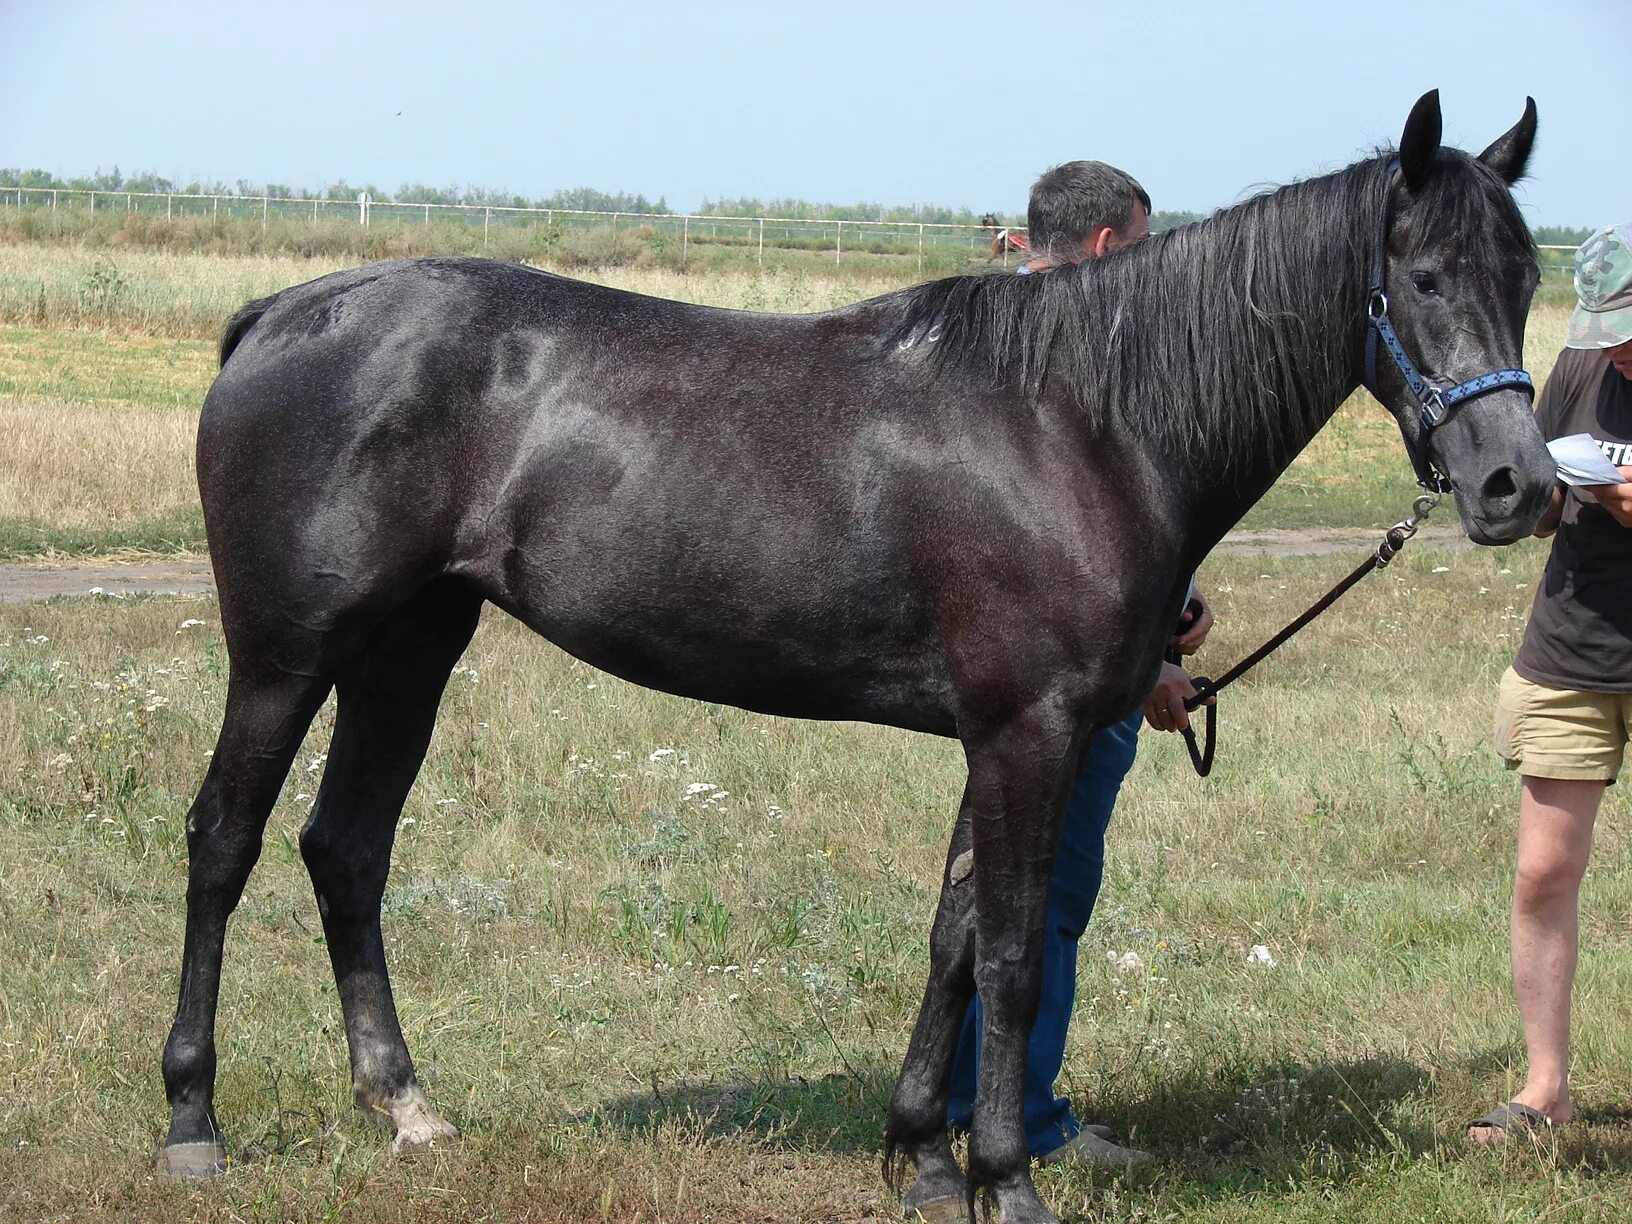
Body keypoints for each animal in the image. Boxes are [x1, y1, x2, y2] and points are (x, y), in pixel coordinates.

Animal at [162, 90, 1553, 1220]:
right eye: (1424, 276)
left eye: (1531, 277)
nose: (1516, 488)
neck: (1083, 421)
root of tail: (281, 316)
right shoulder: (1030, 735)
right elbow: (1012, 959)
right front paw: (1006, 1181)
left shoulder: (995, 738)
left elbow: (953, 941)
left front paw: (924, 1159)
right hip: (287, 654)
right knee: (225, 841)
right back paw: (193, 1124)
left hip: (411, 648)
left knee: (347, 848)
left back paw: (404, 1107)